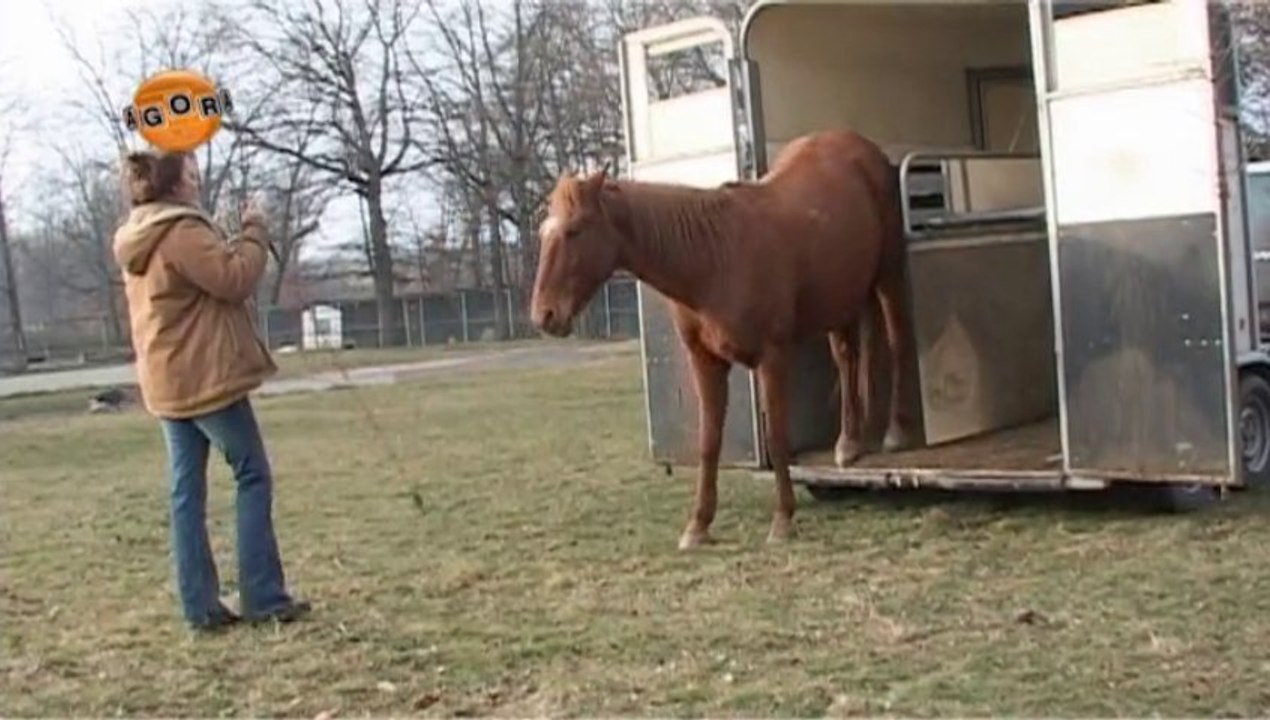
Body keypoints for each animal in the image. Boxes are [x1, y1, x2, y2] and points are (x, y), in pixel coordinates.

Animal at [529, 129, 912, 549]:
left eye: (574, 230)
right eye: (543, 233)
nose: (544, 315)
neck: (713, 258)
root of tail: (855, 143)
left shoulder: (772, 357)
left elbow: (776, 436)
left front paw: (783, 519)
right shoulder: (705, 360)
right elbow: (709, 441)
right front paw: (698, 525)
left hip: (888, 275)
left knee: (896, 341)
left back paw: (894, 432)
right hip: (841, 297)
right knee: (848, 356)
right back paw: (850, 443)